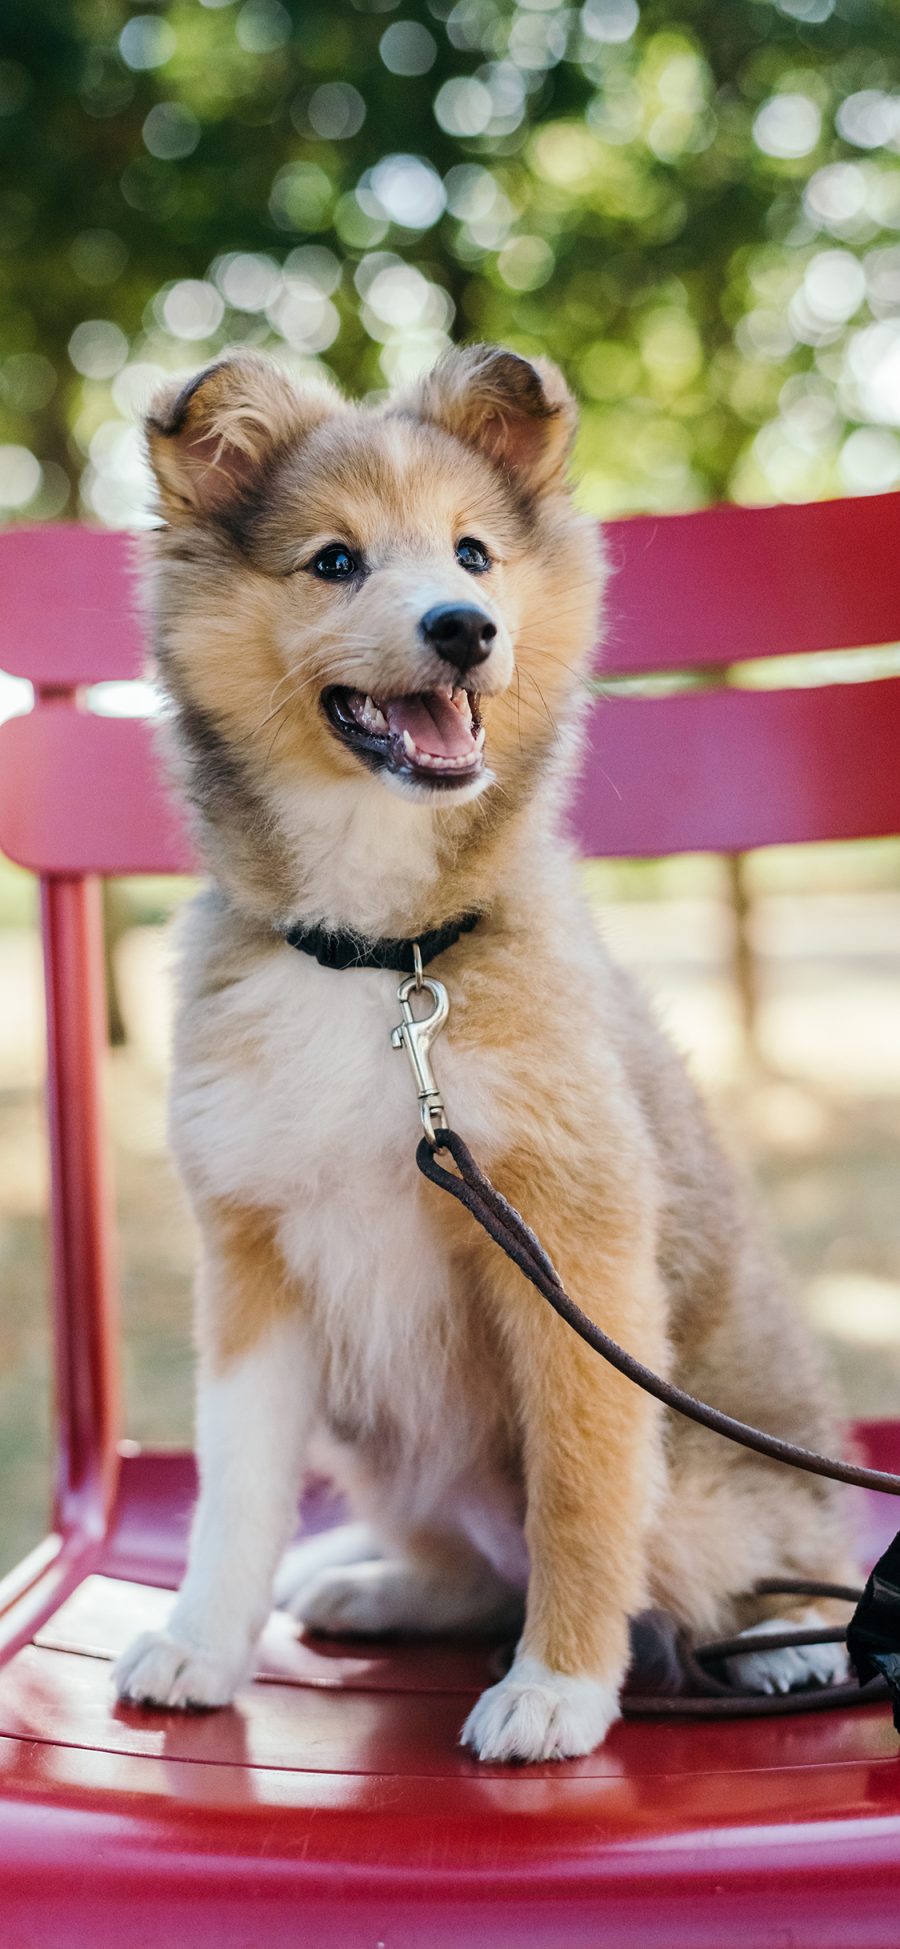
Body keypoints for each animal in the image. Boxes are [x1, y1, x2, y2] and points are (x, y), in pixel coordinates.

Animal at [115, 350, 853, 1769]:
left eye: (473, 551)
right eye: (335, 560)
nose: (463, 626)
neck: (380, 957)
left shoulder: (571, 1255)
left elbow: (578, 1487)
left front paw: (559, 1686)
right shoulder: (253, 1258)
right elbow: (236, 1487)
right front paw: (202, 1641)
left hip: (716, 1494)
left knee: (750, 1570)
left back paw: (791, 1644)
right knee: (473, 1569)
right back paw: (371, 1582)